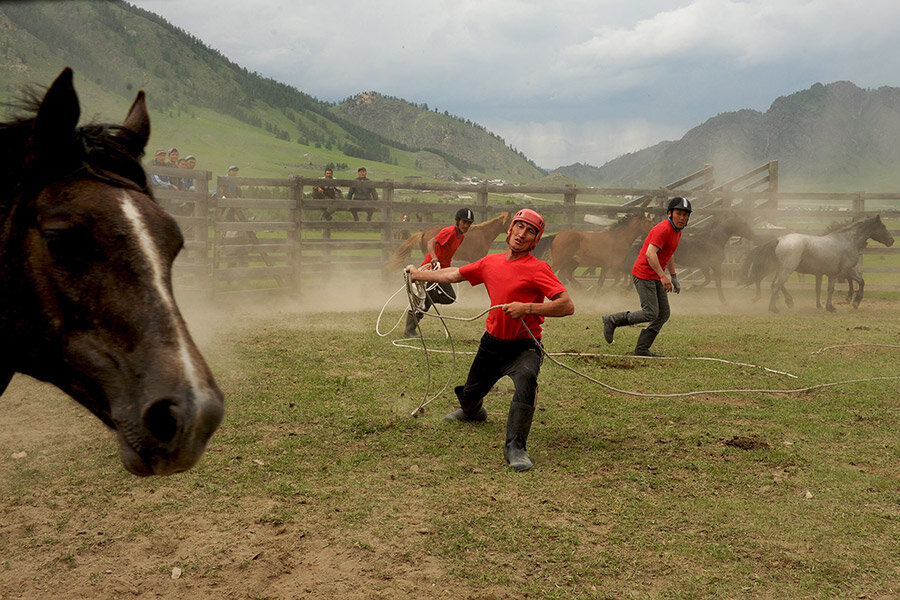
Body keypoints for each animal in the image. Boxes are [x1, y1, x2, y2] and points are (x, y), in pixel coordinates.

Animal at [760, 214, 892, 312]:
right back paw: (774, 308)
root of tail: (780, 239)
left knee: (775, 284)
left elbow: (829, 289)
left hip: (781, 269)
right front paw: (855, 302)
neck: (847, 240)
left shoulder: (832, 274)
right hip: (787, 269)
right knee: (777, 285)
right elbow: (860, 282)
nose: (892, 240)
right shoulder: (847, 270)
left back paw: (785, 303)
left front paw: (829, 307)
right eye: (883, 226)